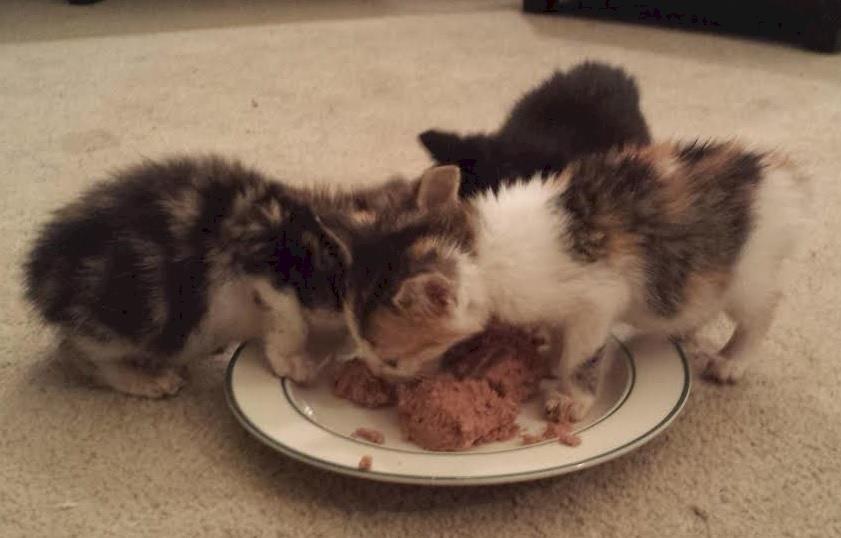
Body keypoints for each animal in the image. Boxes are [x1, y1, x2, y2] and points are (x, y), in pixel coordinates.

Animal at [22, 155, 412, 398]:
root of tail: (41, 275)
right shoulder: (258, 260)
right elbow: (291, 320)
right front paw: (292, 362)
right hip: (123, 324)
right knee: (79, 353)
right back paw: (144, 379)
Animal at [326, 142, 810, 422]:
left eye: (390, 358)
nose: (373, 372)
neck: (483, 249)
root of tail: (779, 174)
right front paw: (545, 353)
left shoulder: (597, 301)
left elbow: (583, 352)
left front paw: (571, 396)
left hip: (747, 270)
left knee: (764, 306)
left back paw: (731, 359)